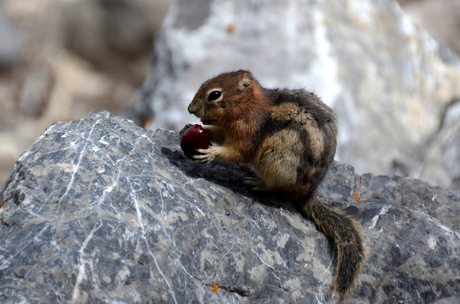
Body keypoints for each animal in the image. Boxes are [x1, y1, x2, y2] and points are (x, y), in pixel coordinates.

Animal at [185, 70, 364, 298]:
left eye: (214, 94)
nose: (190, 109)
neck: (247, 106)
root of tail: (308, 195)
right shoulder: (227, 129)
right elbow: (218, 134)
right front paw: (196, 129)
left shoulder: (247, 133)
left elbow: (239, 152)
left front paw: (210, 153)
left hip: (275, 162)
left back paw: (257, 182)